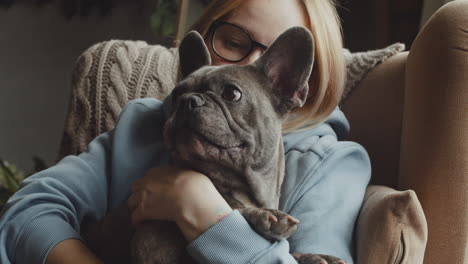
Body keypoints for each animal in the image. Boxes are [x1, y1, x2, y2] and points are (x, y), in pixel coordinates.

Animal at [82, 26, 344, 264]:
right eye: (176, 95)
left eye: (232, 93)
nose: (187, 100)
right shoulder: (152, 246)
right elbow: (232, 207)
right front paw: (263, 216)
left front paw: (313, 256)